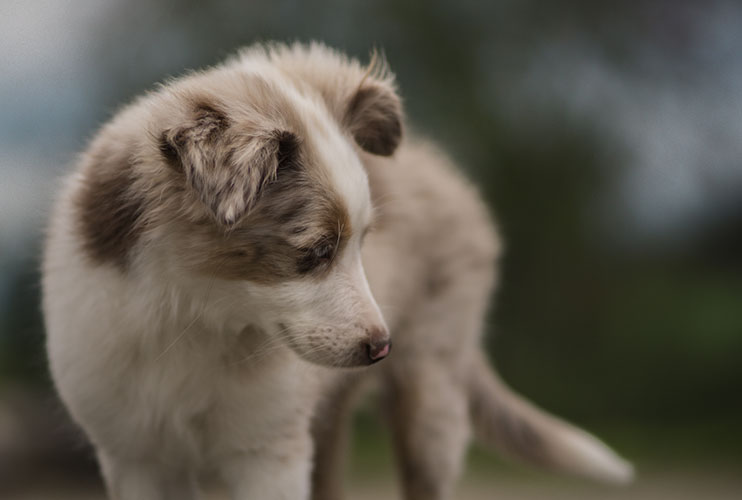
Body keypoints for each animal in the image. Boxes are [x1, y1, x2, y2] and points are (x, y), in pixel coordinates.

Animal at [42, 44, 632, 500]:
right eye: (319, 251)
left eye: (361, 245)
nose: (381, 347)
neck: (195, 315)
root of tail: (439, 164)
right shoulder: (136, 453)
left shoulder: (269, 447)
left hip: (431, 392)